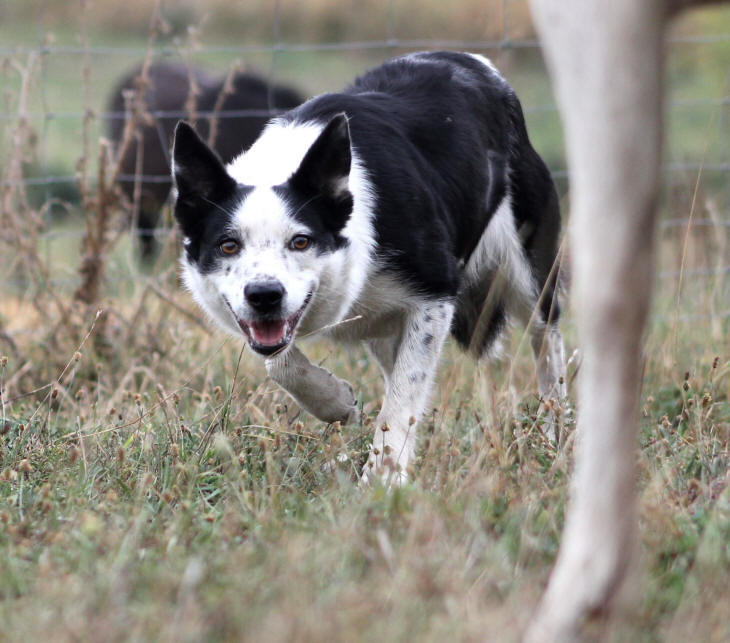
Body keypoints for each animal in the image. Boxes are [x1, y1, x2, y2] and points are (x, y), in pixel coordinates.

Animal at [173, 51, 564, 484]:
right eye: (228, 245)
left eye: (301, 241)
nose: (264, 296)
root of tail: (479, 65)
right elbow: (280, 362)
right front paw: (336, 402)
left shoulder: (435, 295)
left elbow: (405, 393)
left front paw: (383, 480)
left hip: (529, 275)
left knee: (548, 342)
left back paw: (554, 438)